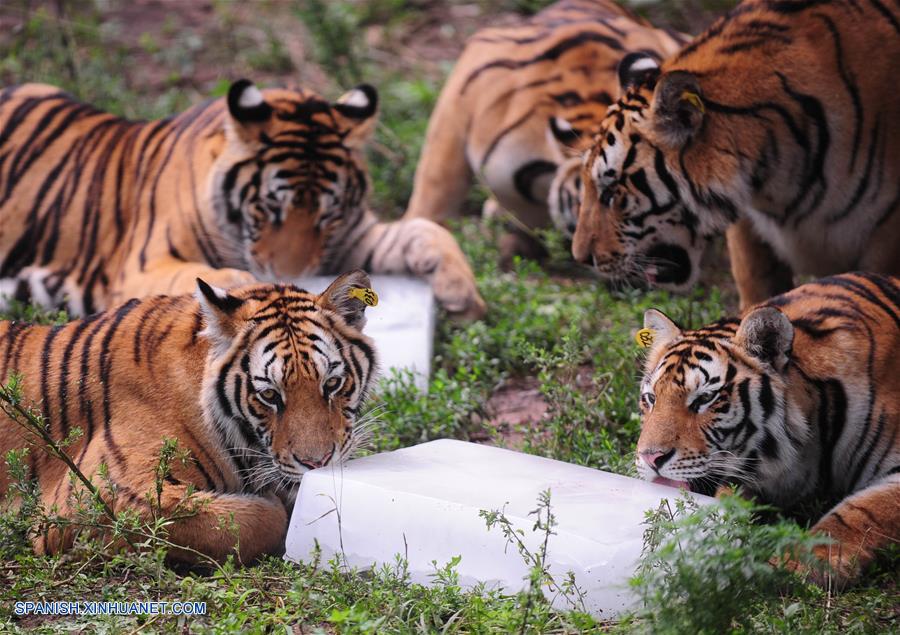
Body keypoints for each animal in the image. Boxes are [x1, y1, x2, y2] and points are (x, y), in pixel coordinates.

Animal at [0, 80, 486, 318]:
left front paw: (464, 293)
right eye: (270, 208)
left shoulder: (348, 238)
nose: (296, 275)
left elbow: (423, 229)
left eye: (326, 216)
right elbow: (200, 275)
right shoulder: (139, 267)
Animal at [636, 274, 896, 588]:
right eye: (651, 398)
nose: (650, 458)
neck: (806, 449)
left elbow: (860, 513)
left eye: (704, 399)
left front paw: (800, 564)